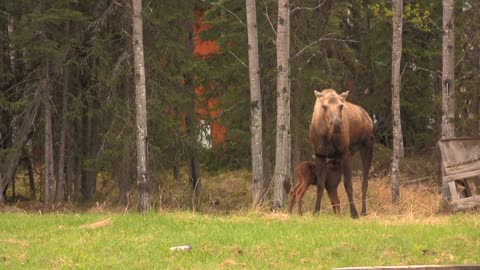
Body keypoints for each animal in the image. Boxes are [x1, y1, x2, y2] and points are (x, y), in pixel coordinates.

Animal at [308, 87, 376, 218]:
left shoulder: (345, 153)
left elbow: (348, 185)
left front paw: (354, 213)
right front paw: (316, 211)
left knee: (364, 182)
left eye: (341, 106)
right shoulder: (319, 154)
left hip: (367, 146)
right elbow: (320, 185)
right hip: (342, 157)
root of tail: (368, 117)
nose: (337, 124)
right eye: (324, 106)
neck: (327, 135)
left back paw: (363, 211)